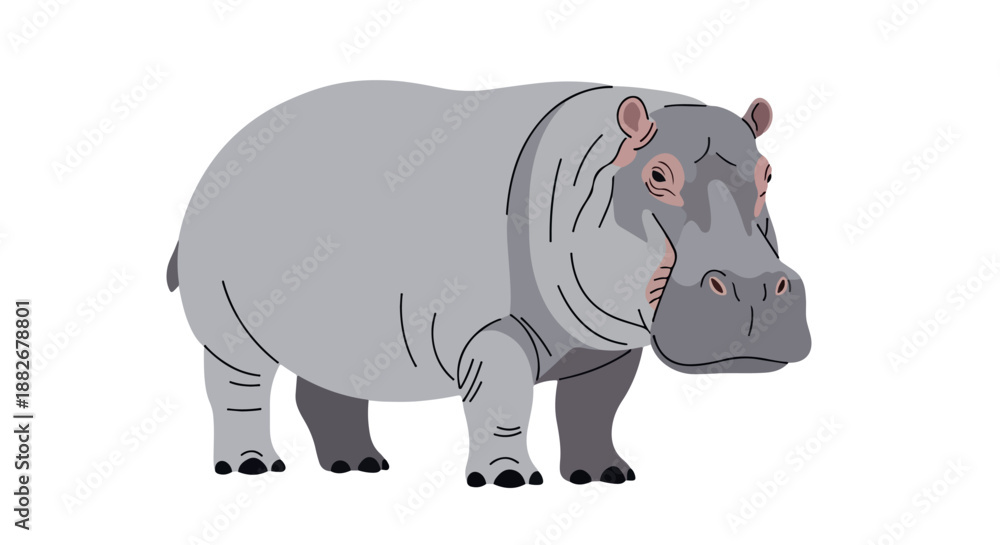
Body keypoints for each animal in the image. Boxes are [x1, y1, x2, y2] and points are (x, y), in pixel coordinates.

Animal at [168, 81, 811, 488]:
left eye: (768, 173)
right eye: (657, 175)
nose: (755, 288)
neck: (594, 170)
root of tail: (219, 154)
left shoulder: (608, 346)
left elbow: (593, 408)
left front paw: (604, 476)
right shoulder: (491, 331)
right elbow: (505, 399)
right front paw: (508, 480)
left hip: (339, 327)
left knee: (330, 386)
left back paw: (360, 467)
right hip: (227, 324)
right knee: (238, 386)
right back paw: (253, 467)